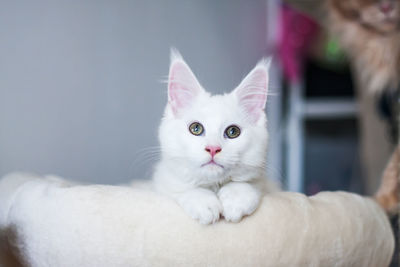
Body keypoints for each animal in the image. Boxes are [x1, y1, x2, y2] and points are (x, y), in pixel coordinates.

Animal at [152, 50, 276, 226]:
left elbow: (246, 185)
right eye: (196, 128)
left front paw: (236, 199)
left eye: (233, 131)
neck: (214, 186)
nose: (213, 148)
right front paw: (204, 203)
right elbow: (184, 187)